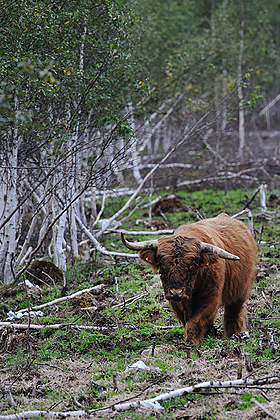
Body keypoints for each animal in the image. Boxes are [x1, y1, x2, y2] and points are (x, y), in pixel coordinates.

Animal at [121, 213, 258, 344]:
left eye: (193, 265)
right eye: (162, 264)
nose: (176, 292)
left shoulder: (211, 297)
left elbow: (195, 321)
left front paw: (191, 343)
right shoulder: (175, 302)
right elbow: (186, 320)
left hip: (241, 291)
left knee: (233, 313)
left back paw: (233, 335)